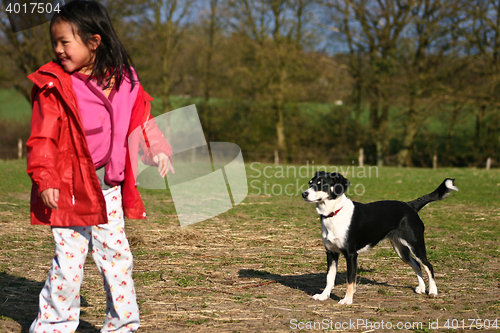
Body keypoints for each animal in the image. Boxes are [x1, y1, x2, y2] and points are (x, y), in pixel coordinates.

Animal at [300, 172, 458, 304]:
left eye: (321, 184)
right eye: (310, 183)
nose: (304, 194)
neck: (334, 213)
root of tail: (409, 205)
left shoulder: (351, 254)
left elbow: (350, 280)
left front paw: (347, 300)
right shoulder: (331, 253)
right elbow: (329, 278)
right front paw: (324, 295)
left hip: (416, 245)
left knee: (428, 266)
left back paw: (432, 291)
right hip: (402, 251)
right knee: (417, 265)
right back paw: (421, 288)